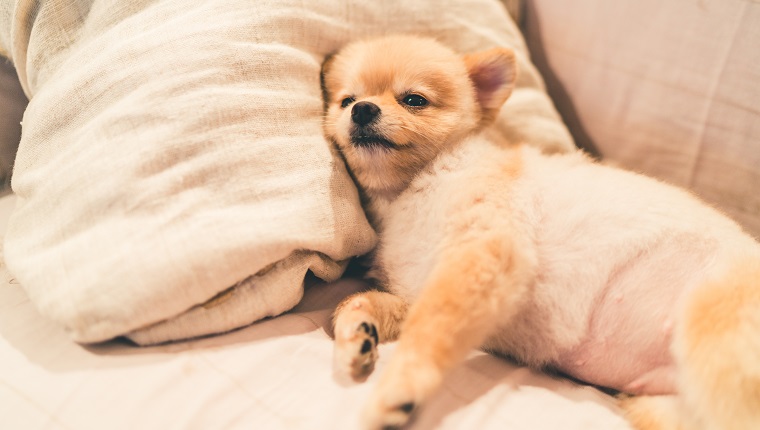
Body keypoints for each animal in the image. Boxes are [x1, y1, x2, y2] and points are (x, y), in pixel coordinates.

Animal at [320, 36, 760, 430]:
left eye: (413, 100)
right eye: (346, 100)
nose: (362, 109)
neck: (410, 192)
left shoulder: (483, 256)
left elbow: (429, 333)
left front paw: (397, 389)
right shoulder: (422, 287)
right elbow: (359, 303)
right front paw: (357, 334)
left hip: (714, 335)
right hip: (660, 406)